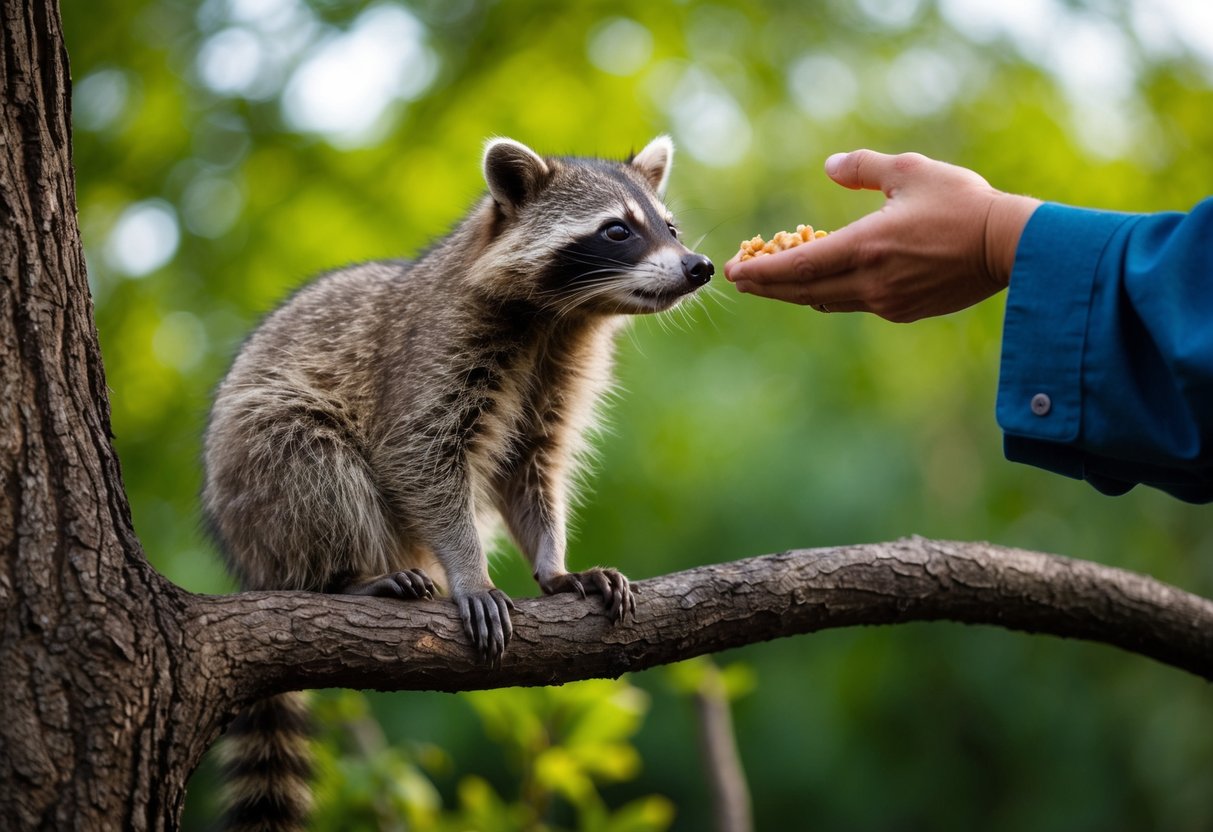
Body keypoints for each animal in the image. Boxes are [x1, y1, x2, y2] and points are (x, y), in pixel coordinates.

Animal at [203, 135, 712, 829]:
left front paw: (553, 564)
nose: (699, 266)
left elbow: (532, 469)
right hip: (258, 474)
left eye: (671, 228)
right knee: (311, 461)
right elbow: (419, 457)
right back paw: (345, 577)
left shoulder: (559, 371)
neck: (561, 315)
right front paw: (472, 569)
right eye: (617, 231)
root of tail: (251, 559)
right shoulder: (436, 348)